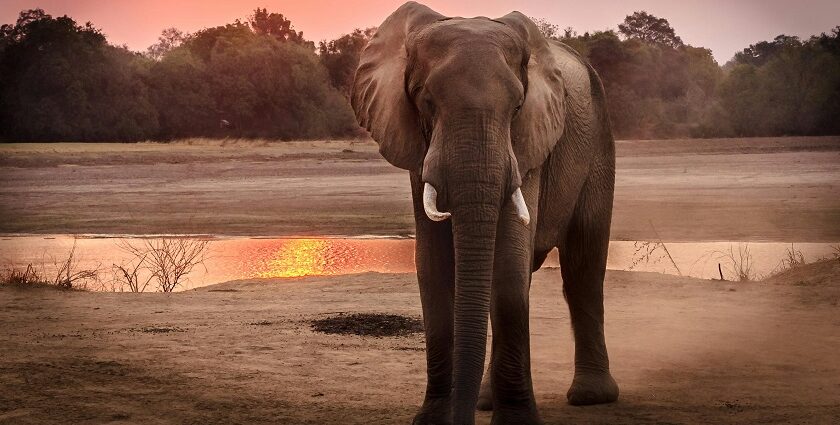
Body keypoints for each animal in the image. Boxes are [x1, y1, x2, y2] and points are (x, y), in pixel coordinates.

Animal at [352, 1, 620, 422]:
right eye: (426, 102)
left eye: (517, 107)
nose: (457, 418)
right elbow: (434, 266)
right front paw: (433, 419)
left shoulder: (529, 142)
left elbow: (508, 265)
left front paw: (517, 421)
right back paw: (485, 401)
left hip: (599, 144)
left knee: (583, 268)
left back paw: (591, 396)